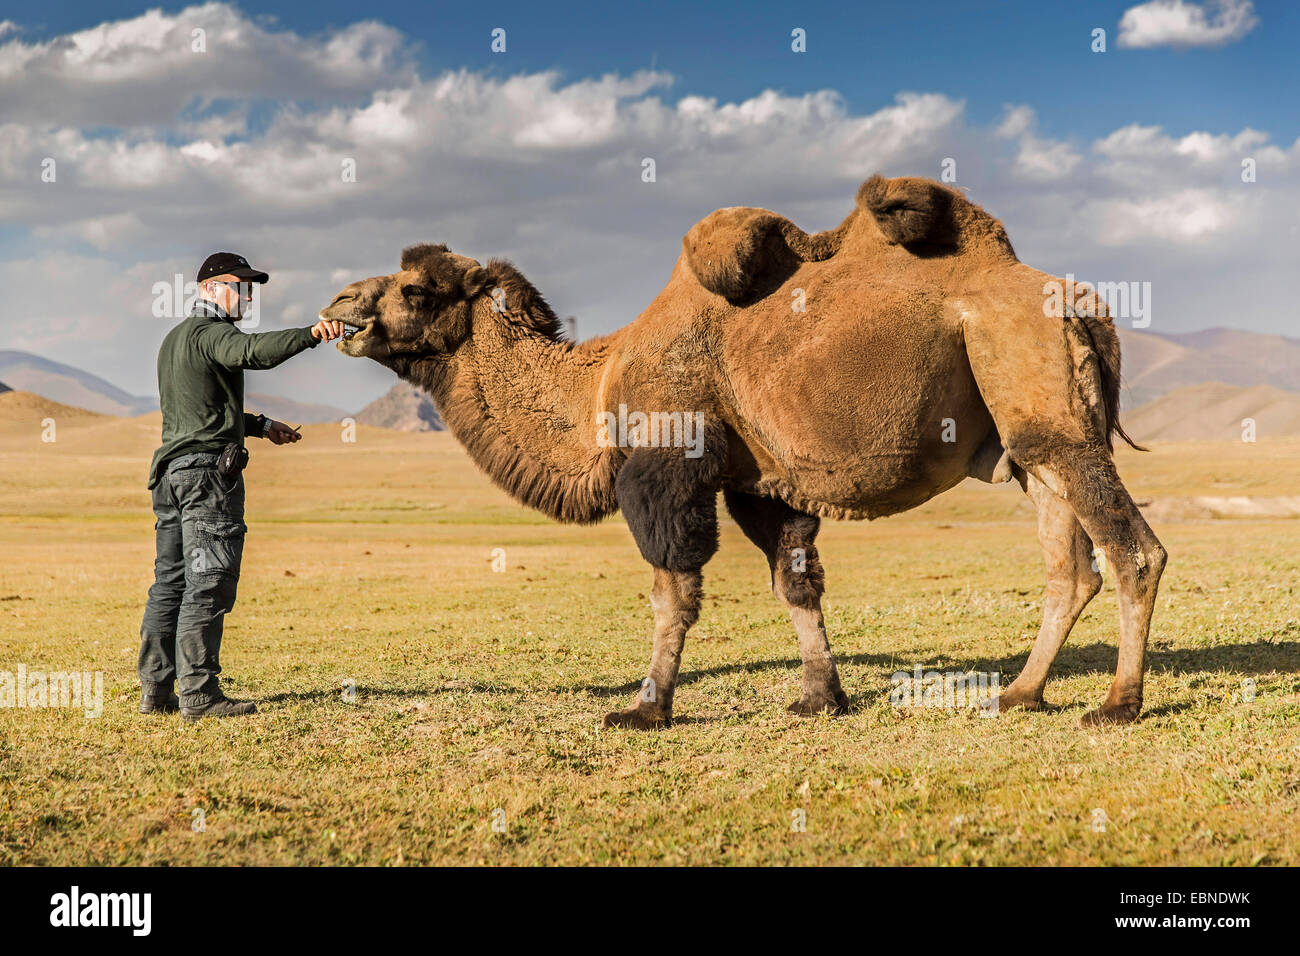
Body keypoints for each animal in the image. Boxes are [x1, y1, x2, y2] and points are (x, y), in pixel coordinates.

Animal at [317, 175, 1170, 728]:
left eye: (416, 291)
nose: (339, 306)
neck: (600, 381)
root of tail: (1085, 307)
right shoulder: (761, 481)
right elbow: (796, 582)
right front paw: (821, 697)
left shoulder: (665, 469)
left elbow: (672, 590)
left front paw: (644, 708)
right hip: (1029, 443)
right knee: (1070, 564)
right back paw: (1019, 694)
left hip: (1046, 406)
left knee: (1133, 551)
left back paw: (1116, 705)